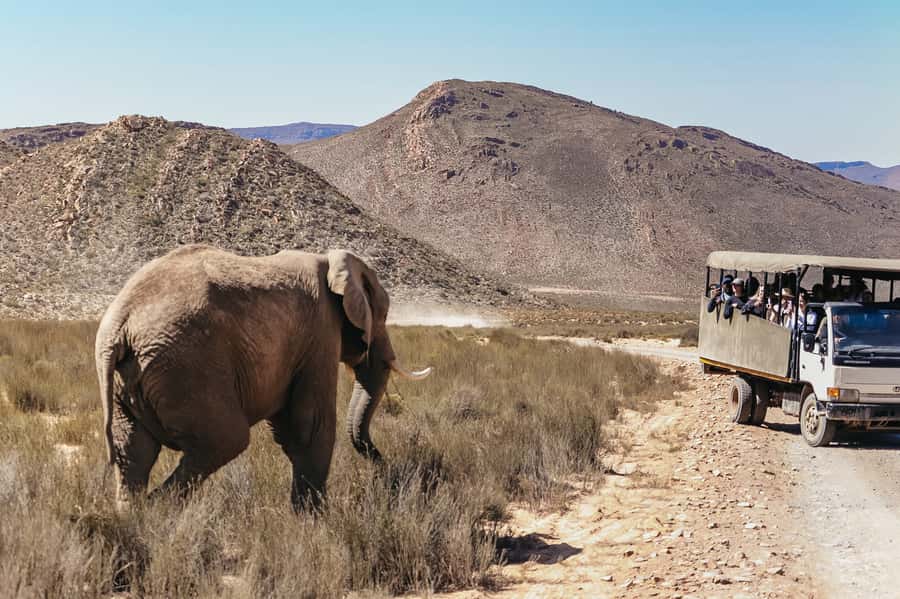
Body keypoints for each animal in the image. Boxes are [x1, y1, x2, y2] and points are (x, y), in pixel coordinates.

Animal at [95, 244, 431, 511]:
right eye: (383, 315)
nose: (384, 464)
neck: (331, 261)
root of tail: (119, 323)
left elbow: (291, 429)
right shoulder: (321, 333)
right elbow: (311, 426)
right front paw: (315, 521)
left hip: (132, 375)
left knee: (133, 452)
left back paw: (136, 519)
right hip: (185, 366)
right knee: (225, 439)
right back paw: (156, 511)